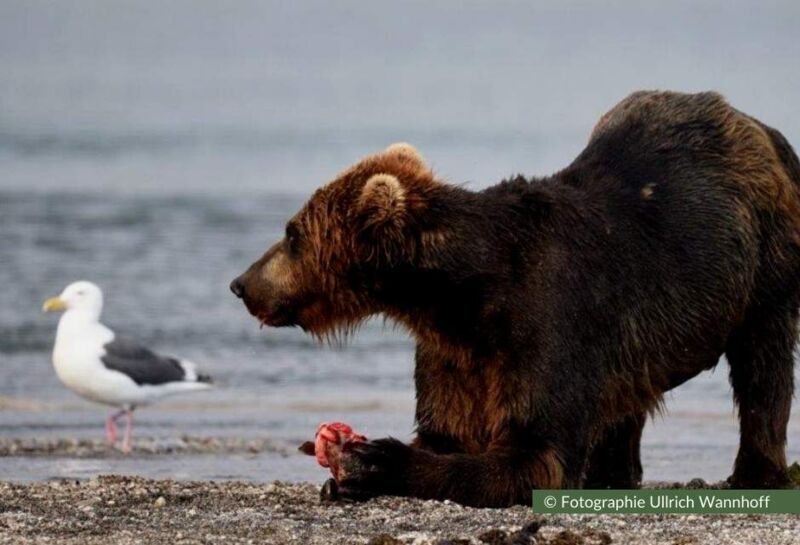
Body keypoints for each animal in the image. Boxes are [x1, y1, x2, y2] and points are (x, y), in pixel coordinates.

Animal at [230, 90, 800, 507]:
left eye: (292, 234)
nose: (241, 283)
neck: (464, 295)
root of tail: (758, 125)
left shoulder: (547, 321)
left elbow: (535, 452)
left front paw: (376, 460)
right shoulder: (453, 350)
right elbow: (447, 426)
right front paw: (343, 474)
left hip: (762, 259)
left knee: (763, 364)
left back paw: (755, 470)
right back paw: (613, 473)